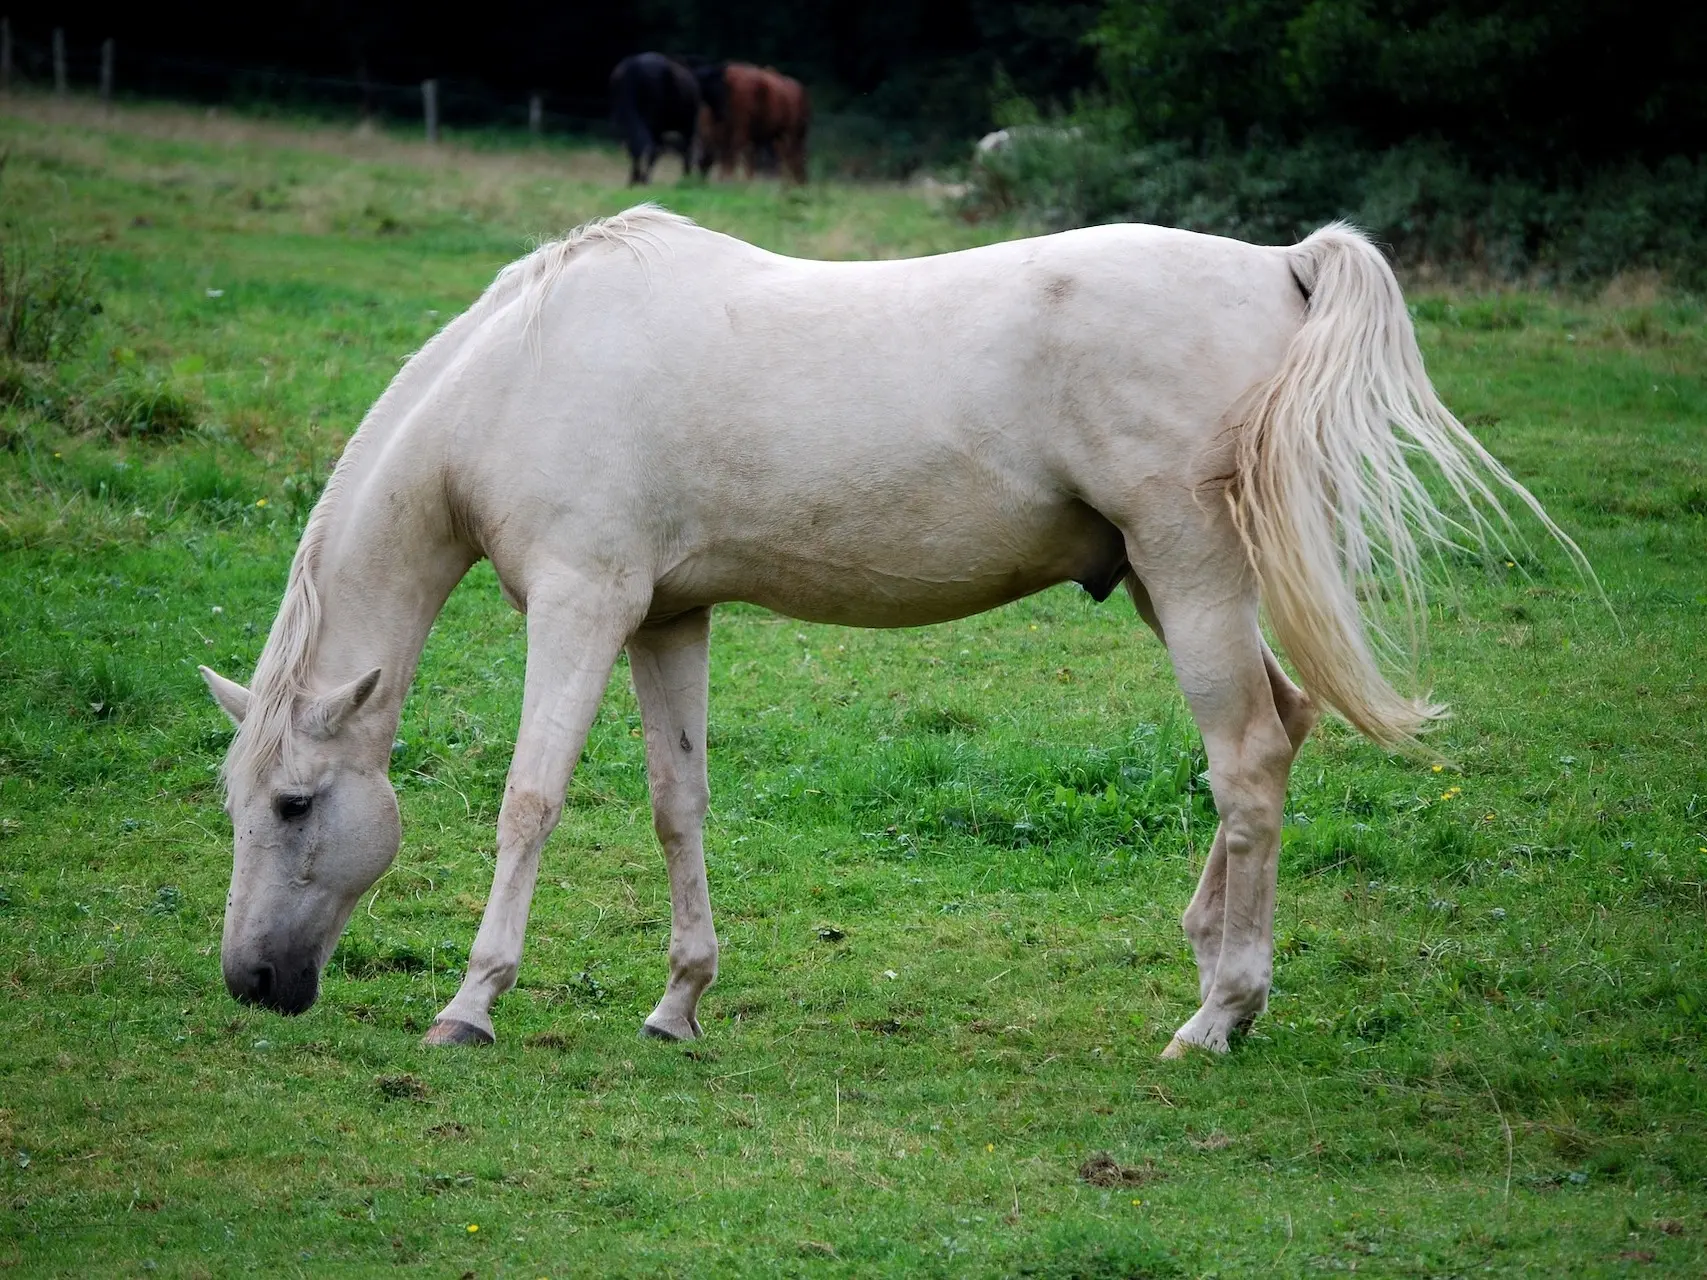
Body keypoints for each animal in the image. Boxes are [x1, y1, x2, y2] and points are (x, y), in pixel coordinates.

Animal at [196, 205, 1570, 1058]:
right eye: (243, 804)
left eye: (296, 805)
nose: (250, 984)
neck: (525, 366)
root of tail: (1280, 261)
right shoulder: (667, 617)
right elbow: (676, 804)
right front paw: (679, 1000)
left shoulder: (585, 605)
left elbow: (530, 799)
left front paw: (472, 1004)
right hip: (1161, 579)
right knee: (1281, 725)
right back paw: (1212, 971)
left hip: (1190, 576)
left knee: (1247, 763)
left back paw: (1216, 1015)